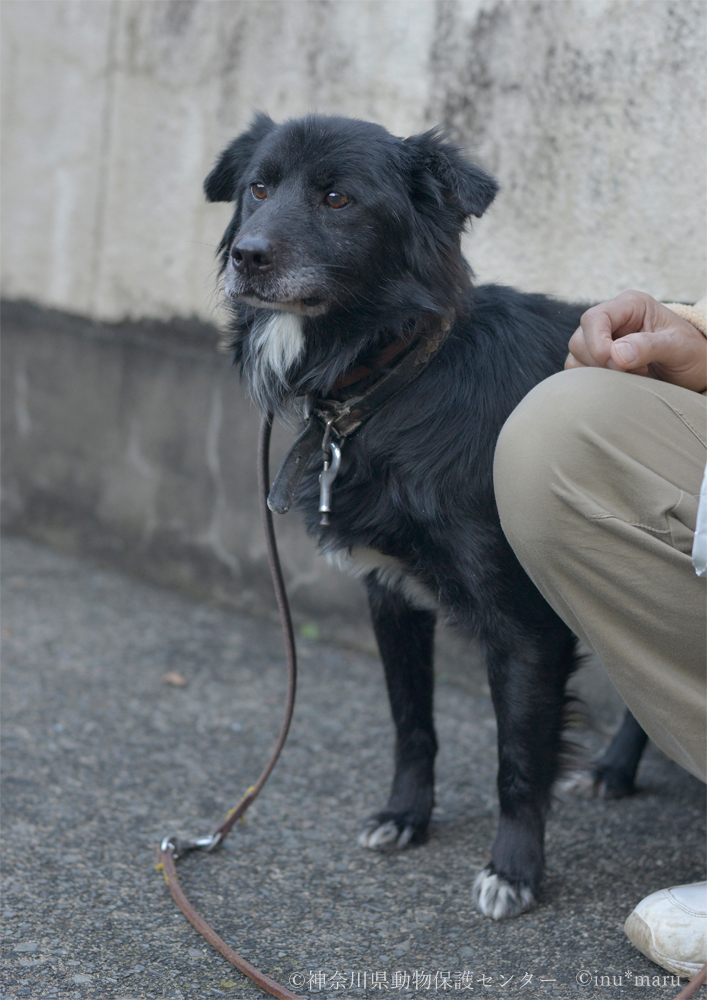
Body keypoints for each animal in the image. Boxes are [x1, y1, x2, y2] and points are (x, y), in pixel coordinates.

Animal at [206, 113, 648, 916]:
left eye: (338, 198)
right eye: (257, 187)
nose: (247, 256)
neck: (396, 377)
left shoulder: (525, 623)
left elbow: (518, 756)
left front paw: (513, 869)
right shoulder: (389, 594)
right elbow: (411, 722)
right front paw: (406, 816)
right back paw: (614, 769)